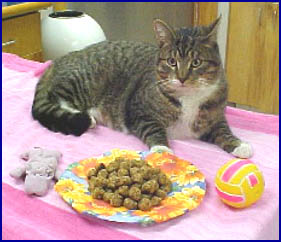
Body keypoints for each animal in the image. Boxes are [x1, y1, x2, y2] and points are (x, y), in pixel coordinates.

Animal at [32, 17, 252, 159]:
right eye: (172, 61)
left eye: (196, 62)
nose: (182, 78)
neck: (188, 97)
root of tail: (61, 58)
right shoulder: (139, 112)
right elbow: (153, 128)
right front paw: (162, 149)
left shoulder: (214, 115)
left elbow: (223, 130)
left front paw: (239, 145)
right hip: (83, 81)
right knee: (55, 98)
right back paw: (87, 117)